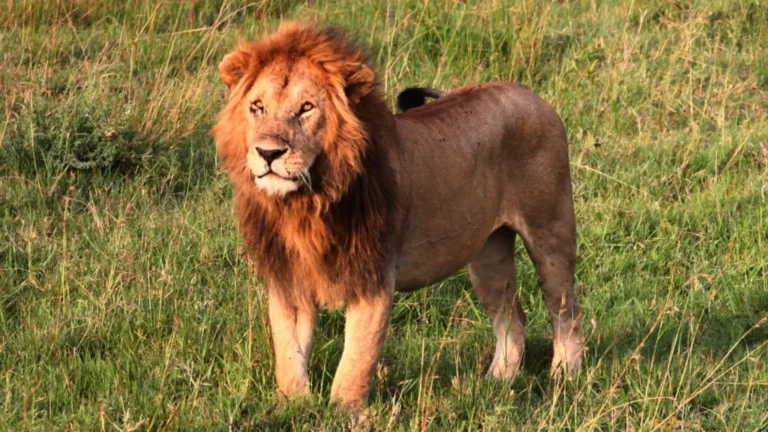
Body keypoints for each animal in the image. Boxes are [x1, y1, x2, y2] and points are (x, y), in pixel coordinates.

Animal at [212, 23, 583, 412]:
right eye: (257, 107)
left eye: (306, 108)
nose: (268, 152)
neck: (305, 205)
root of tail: (528, 92)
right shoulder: (290, 279)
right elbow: (288, 354)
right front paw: (292, 406)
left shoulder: (374, 278)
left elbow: (356, 360)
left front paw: (343, 413)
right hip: (488, 255)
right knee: (512, 317)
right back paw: (494, 384)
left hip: (551, 231)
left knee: (566, 310)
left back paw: (564, 377)